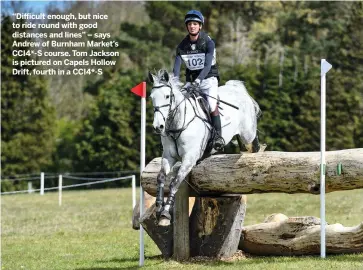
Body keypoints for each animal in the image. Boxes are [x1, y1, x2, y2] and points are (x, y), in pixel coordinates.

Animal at [148, 69, 262, 226]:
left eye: (167, 96)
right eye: (151, 97)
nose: (157, 127)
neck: (178, 124)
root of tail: (236, 88)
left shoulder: (189, 159)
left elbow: (174, 182)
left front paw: (165, 214)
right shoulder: (168, 157)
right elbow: (160, 178)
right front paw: (159, 208)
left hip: (247, 133)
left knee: (252, 142)